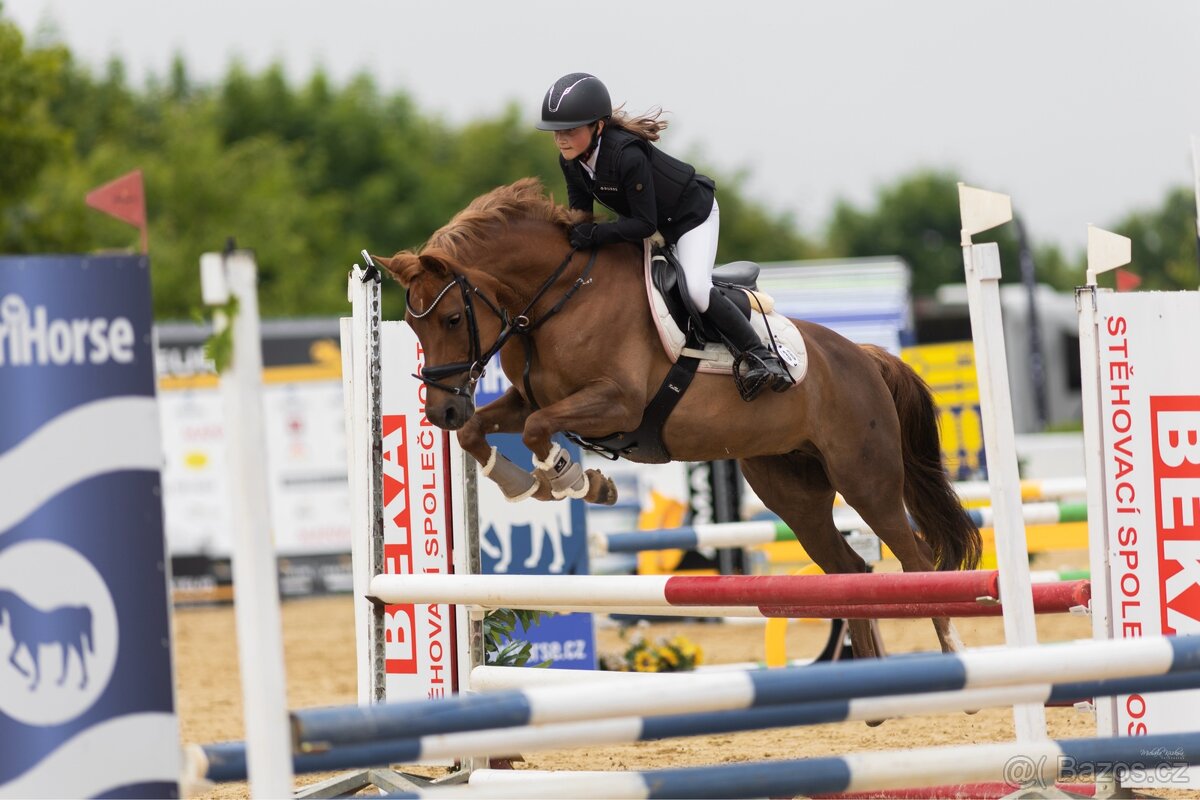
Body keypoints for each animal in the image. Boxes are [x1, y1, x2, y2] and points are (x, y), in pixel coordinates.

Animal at [373, 177, 981, 659]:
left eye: (453, 318)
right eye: (413, 325)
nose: (441, 410)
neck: (558, 298)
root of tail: (863, 354)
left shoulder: (616, 403)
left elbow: (538, 428)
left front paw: (575, 481)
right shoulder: (528, 398)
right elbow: (488, 430)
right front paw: (528, 482)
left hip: (866, 478)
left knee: (916, 560)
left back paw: (953, 660)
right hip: (791, 490)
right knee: (849, 569)